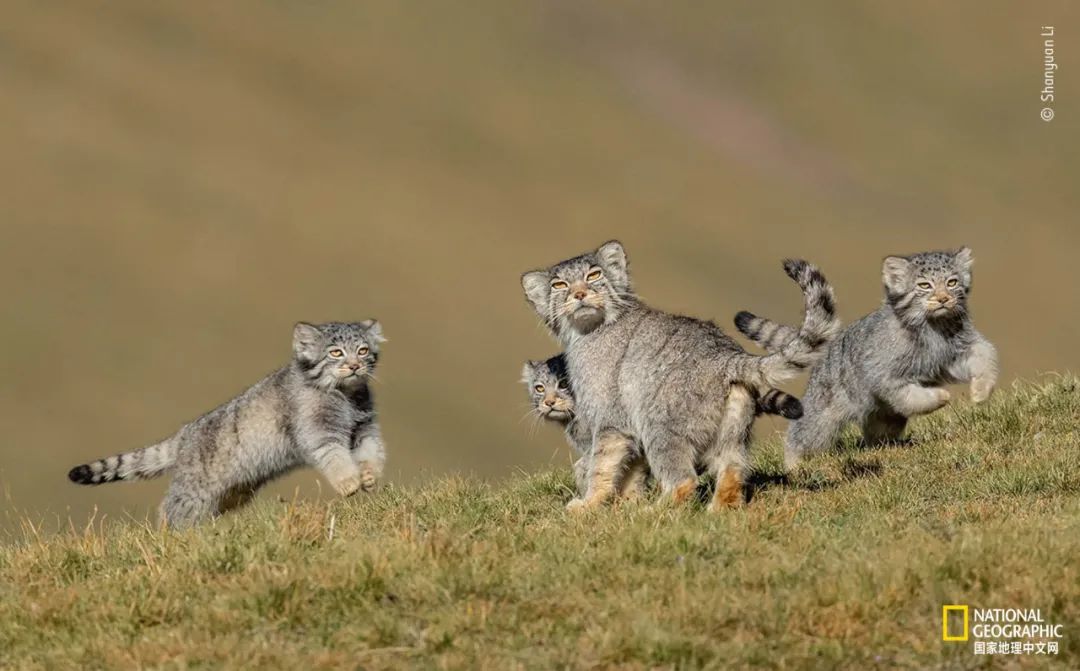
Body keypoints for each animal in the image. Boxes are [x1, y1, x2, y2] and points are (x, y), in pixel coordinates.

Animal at [67, 319, 388, 529]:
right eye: (335, 352)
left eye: (362, 350)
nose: (354, 366)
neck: (346, 396)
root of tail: (183, 435)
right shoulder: (318, 431)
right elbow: (335, 457)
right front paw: (349, 482)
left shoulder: (363, 428)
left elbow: (372, 450)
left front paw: (369, 475)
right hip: (194, 490)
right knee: (171, 511)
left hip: (232, 491)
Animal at [518, 240, 838, 507]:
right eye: (559, 284)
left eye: (594, 275)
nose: (580, 294)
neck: (589, 332)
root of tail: (725, 356)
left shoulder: (611, 420)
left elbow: (600, 467)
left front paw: (588, 506)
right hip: (732, 434)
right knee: (732, 473)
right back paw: (717, 514)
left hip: (659, 427)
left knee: (684, 481)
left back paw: (651, 514)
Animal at [738, 246, 997, 466]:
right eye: (924, 285)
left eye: (952, 282)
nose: (943, 298)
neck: (934, 328)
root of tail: (829, 344)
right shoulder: (884, 376)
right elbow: (911, 396)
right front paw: (940, 396)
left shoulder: (958, 352)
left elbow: (986, 356)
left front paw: (980, 391)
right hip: (822, 416)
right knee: (800, 435)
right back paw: (793, 465)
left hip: (883, 417)